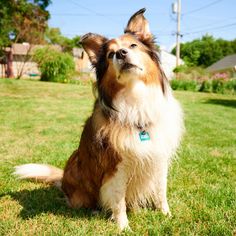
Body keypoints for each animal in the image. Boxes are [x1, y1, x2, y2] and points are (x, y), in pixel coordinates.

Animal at [14, 8, 184, 230]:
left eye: (132, 45)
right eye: (111, 54)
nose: (121, 54)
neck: (135, 98)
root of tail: (62, 179)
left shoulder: (158, 157)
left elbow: (161, 191)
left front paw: (166, 215)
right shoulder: (116, 166)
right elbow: (119, 200)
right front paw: (123, 227)